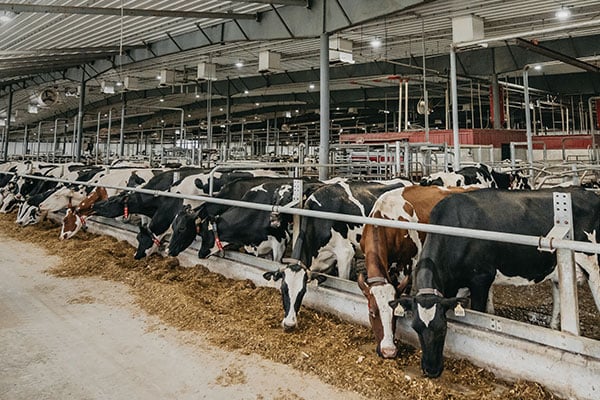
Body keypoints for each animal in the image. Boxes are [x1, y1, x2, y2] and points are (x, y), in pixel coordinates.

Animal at [390, 188, 600, 378]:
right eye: (415, 328)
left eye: (443, 328)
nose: (431, 371)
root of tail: (588, 193)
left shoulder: (481, 279)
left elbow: (479, 314)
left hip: (594, 267)